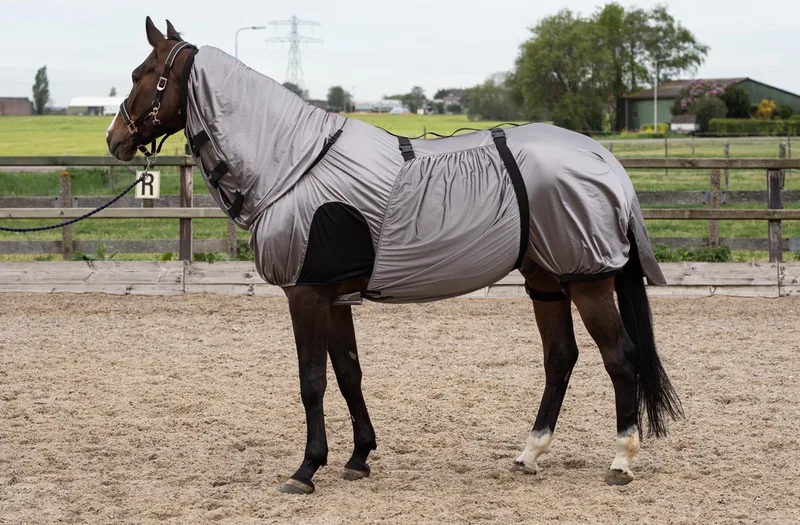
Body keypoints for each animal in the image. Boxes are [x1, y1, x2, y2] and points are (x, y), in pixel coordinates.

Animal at [107, 17, 682, 494]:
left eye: (142, 74)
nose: (115, 139)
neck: (294, 164)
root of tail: (603, 158)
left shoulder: (306, 293)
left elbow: (312, 380)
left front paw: (306, 468)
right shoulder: (335, 297)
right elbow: (348, 372)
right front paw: (358, 456)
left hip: (588, 279)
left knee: (620, 358)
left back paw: (621, 460)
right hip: (546, 280)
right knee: (560, 357)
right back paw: (530, 453)